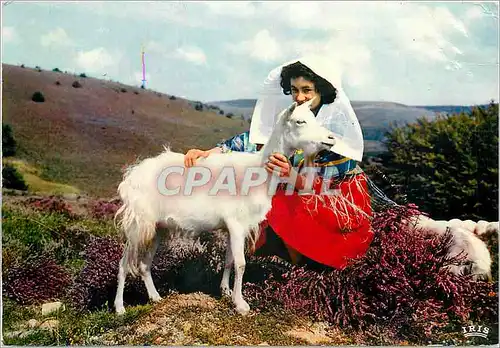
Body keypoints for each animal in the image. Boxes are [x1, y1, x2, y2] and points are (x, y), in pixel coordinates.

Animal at [113, 98, 336, 316]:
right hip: (138, 223)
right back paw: (119, 307)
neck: (259, 172)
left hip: (157, 228)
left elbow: (229, 260)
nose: (331, 138)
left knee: (144, 265)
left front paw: (226, 291)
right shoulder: (236, 224)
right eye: (300, 121)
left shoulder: (234, 228)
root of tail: (132, 175)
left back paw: (155, 297)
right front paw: (241, 304)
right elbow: (241, 264)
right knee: (124, 264)